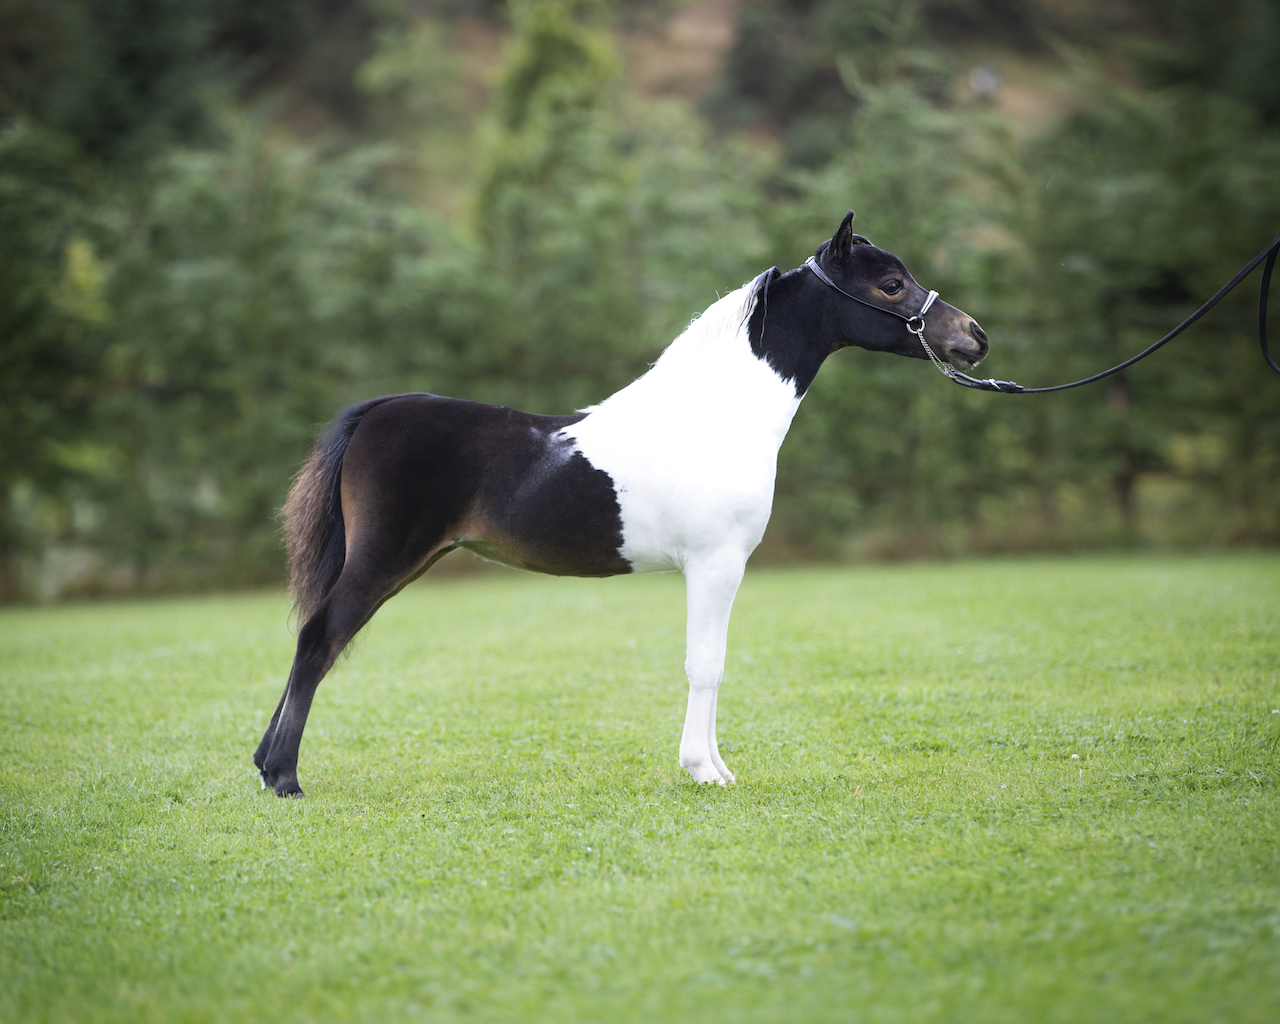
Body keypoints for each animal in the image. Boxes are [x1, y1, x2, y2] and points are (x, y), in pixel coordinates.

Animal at [254, 211, 989, 797]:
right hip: (382, 559)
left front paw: (716, 766)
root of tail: (376, 413)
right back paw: (285, 777)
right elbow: (706, 664)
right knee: (318, 640)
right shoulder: (716, 565)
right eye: (890, 285)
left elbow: (713, 662)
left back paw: (265, 765)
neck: (717, 416)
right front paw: (705, 771)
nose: (975, 336)